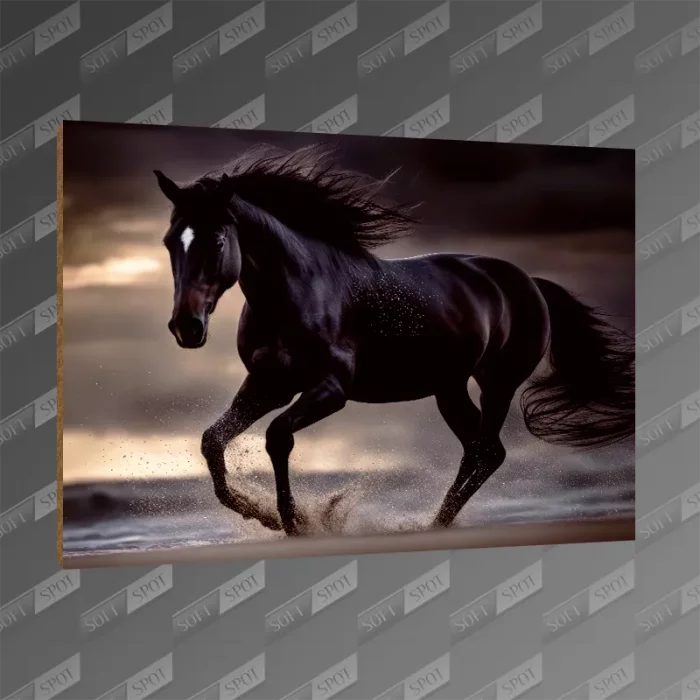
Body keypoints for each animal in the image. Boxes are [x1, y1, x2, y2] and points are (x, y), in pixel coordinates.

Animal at [154, 143, 635, 537]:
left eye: (218, 241)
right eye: (170, 241)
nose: (186, 327)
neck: (296, 292)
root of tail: (530, 283)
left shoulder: (330, 389)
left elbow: (277, 436)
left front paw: (296, 522)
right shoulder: (268, 385)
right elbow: (212, 440)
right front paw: (263, 515)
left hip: (497, 383)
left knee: (486, 451)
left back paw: (434, 524)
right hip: (449, 388)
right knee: (482, 450)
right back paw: (436, 523)